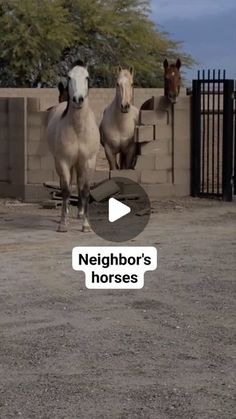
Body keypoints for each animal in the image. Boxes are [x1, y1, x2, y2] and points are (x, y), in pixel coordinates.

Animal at [47, 63, 99, 233]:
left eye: (87, 77)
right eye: (69, 77)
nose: (77, 99)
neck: (78, 129)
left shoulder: (88, 161)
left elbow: (85, 189)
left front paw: (86, 225)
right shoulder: (62, 161)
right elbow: (65, 190)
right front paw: (63, 223)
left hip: (79, 164)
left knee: (79, 183)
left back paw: (80, 213)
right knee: (69, 185)